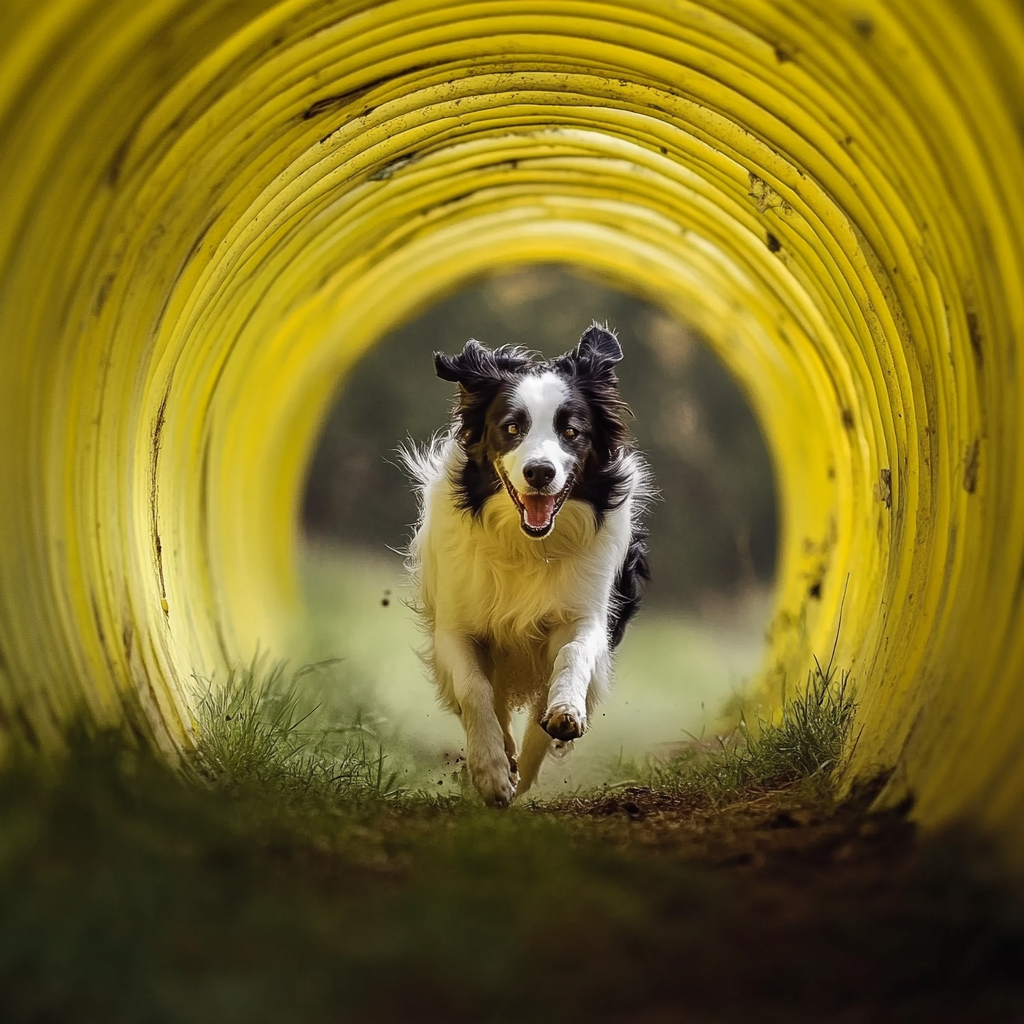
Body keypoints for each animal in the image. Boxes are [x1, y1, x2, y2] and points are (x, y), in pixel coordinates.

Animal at [403, 323, 651, 802]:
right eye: (512, 427)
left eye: (571, 432)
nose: (540, 472)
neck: (527, 545)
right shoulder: (458, 626)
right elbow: (475, 690)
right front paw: (491, 771)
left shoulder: (584, 614)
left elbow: (572, 656)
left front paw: (564, 714)